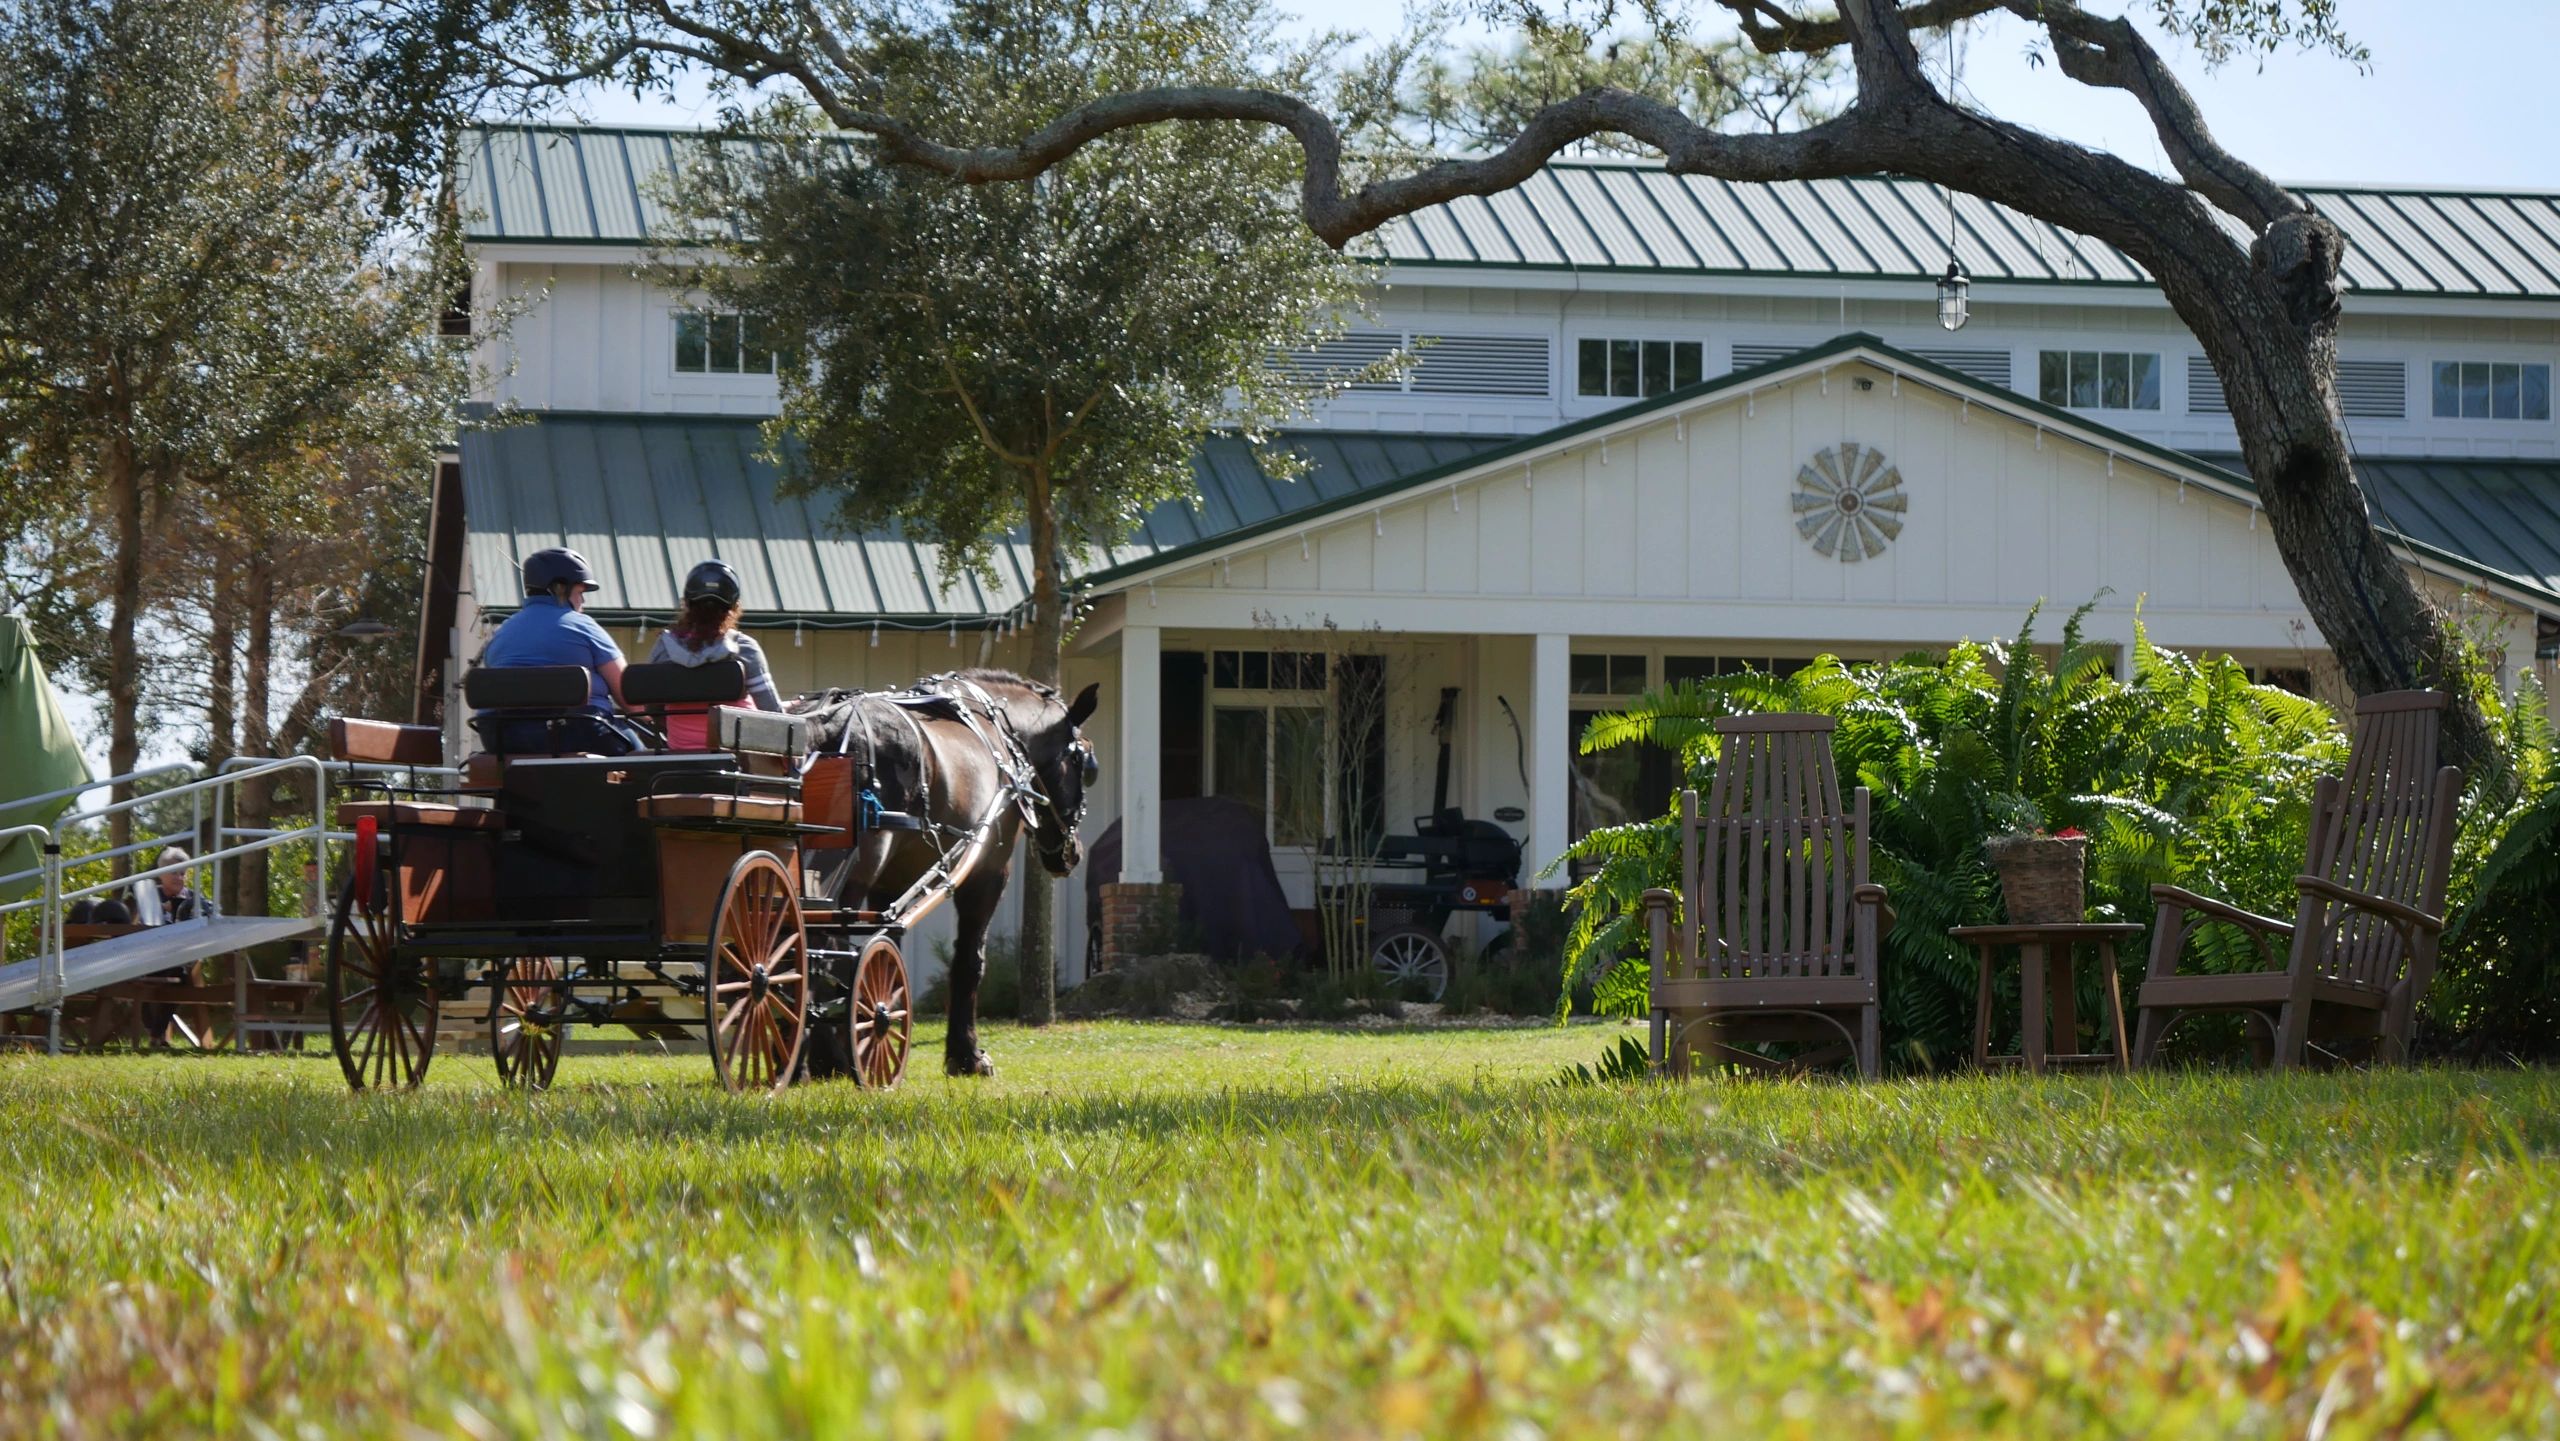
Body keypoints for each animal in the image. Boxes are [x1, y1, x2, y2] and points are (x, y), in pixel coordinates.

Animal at [798, 670, 1100, 1074]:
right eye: (1084, 762)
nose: (1072, 853)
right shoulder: (988, 874)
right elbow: (969, 963)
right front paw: (966, 1054)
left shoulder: (891, 885)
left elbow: (888, 952)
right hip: (851, 873)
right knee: (821, 946)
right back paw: (826, 1057)